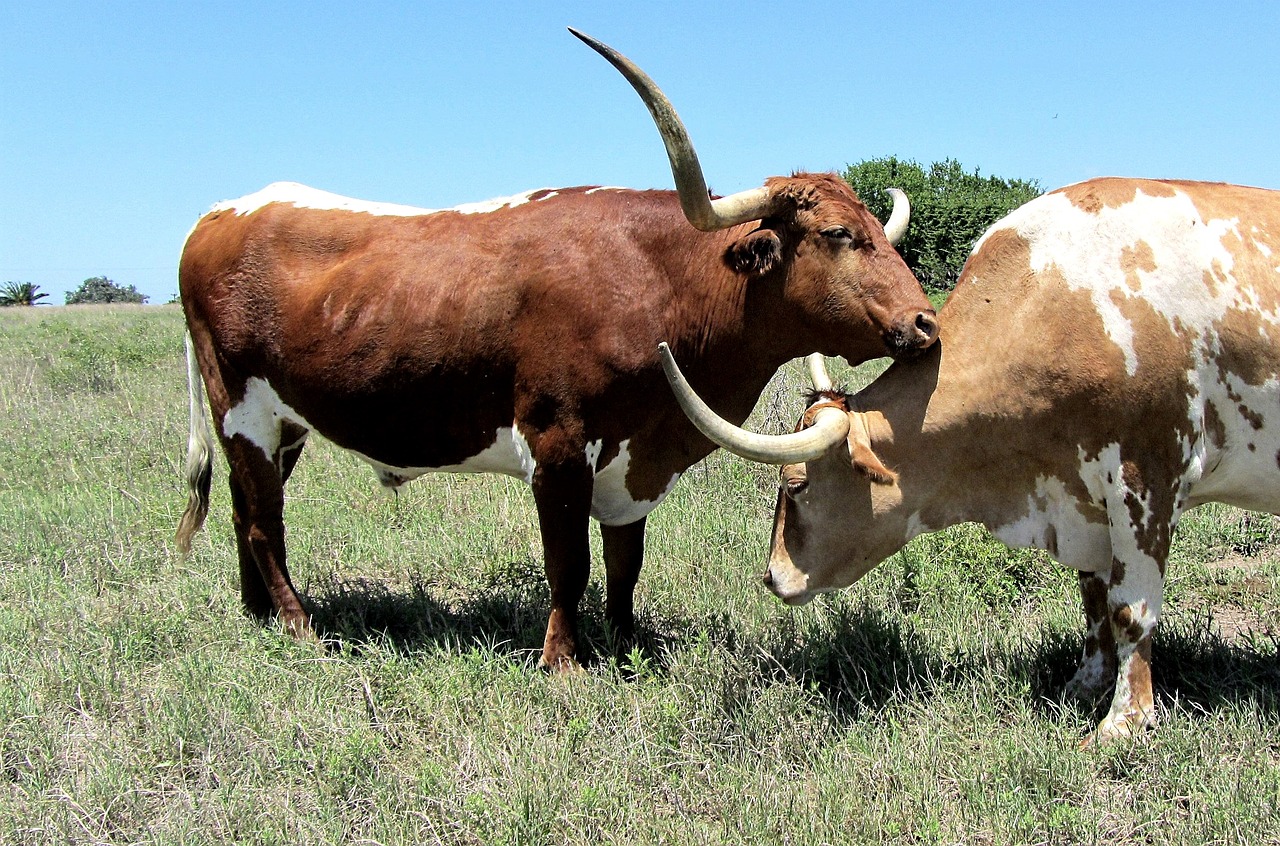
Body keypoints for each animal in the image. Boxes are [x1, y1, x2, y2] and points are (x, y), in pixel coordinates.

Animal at [175, 29, 936, 670]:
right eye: (838, 234)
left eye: (878, 227)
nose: (927, 324)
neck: (660, 281)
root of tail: (216, 215)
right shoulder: (557, 442)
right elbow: (568, 563)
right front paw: (564, 662)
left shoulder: (637, 459)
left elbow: (625, 563)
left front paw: (631, 646)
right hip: (239, 407)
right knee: (263, 521)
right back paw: (300, 626)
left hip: (282, 421)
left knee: (246, 508)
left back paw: (257, 613)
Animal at [660, 176, 1280, 737]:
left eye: (795, 484)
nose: (772, 576)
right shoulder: (1082, 496)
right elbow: (1095, 600)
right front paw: (1083, 685)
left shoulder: (1146, 476)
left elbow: (1130, 609)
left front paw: (1125, 721)